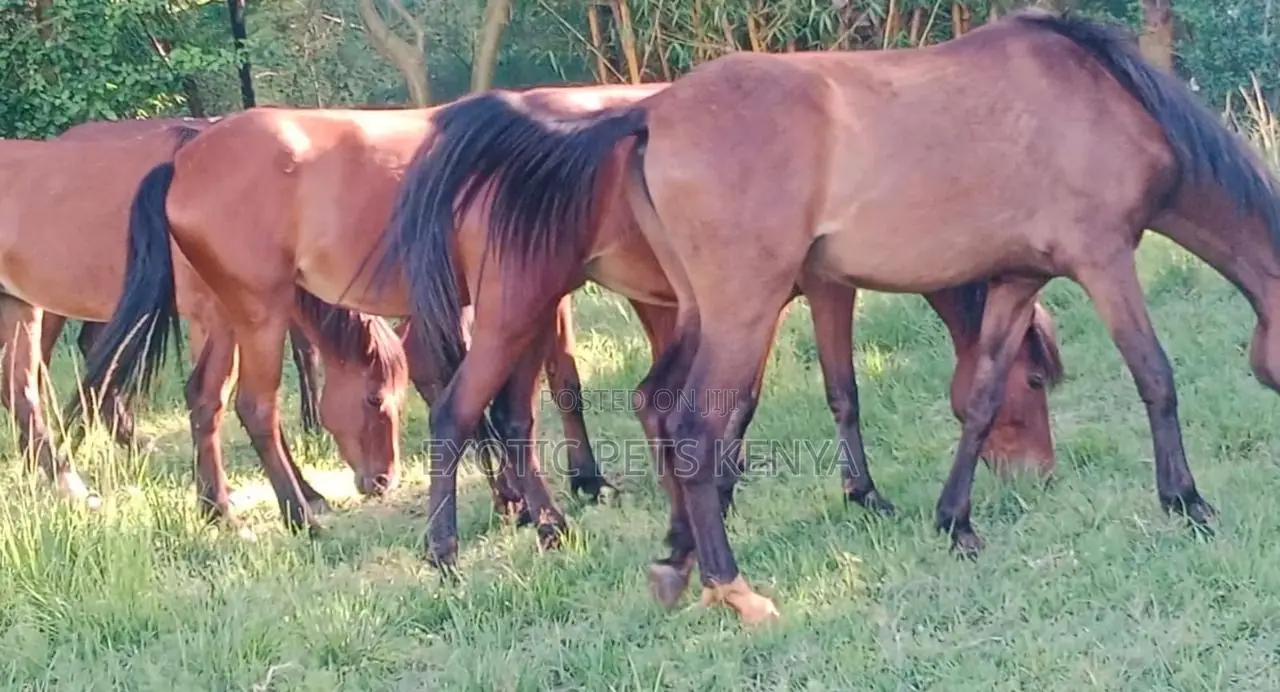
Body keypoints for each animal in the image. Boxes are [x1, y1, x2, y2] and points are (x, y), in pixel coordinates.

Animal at [0, 123, 407, 531]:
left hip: (28, 307)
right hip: (47, 310)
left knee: (28, 391)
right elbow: (229, 401)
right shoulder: (220, 319)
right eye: (374, 397)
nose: (383, 480)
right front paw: (291, 497)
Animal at [70, 106, 615, 535]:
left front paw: (531, 493)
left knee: (207, 400)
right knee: (256, 407)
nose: (383, 480)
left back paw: (220, 510)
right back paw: (300, 517)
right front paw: (542, 494)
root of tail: (181, 164)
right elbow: (513, 393)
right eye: (374, 399)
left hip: (226, 320)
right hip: (260, 315)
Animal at [368, 79, 1065, 571]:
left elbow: (740, 403)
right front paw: (862, 493)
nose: (1042, 473)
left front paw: (719, 493)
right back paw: (447, 551)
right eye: (1033, 383)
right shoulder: (823, 291)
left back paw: (548, 523)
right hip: (515, 313)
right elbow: (839, 392)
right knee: (456, 414)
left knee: (512, 416)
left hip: (535, 313)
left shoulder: (753, 308)